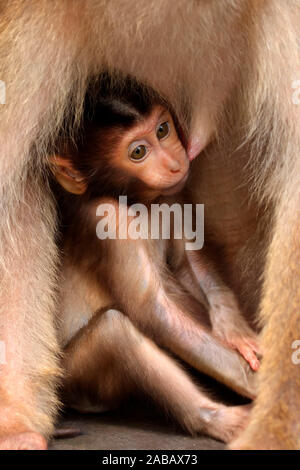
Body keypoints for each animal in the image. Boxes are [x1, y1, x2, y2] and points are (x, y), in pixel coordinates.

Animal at [50, 75, 258, 442]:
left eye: (162, 130)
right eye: (138, 152)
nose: (175, 163)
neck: (134, 201)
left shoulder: (173, 195)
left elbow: (188, 263)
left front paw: (236, 330)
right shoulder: (108, 222)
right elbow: (155, 313)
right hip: (74, 380)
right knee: (115, 331)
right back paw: (217, 419)